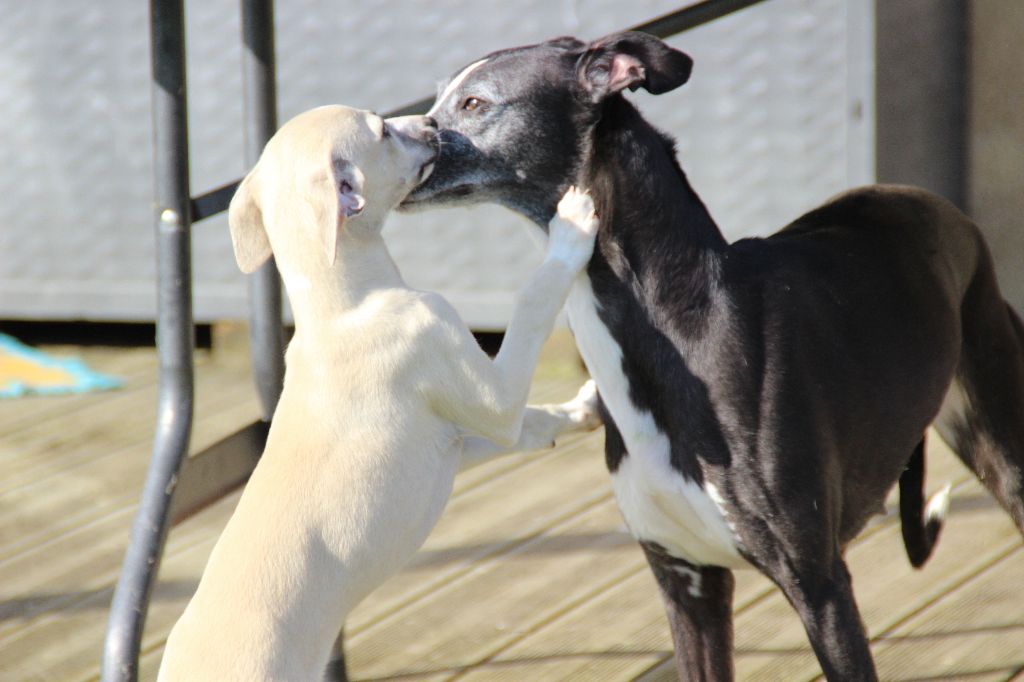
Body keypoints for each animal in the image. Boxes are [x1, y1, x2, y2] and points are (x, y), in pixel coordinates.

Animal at [157, 105, 601, 681]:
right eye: (383, 130)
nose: (432, 125)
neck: (341, 307)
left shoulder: (453, 441)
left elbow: (529, 427)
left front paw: (581, 410)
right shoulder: (491, 396)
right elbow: (533, 304)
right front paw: (570, 233)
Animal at [399, 32, 1024, 680]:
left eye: (474, 102)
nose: (389, 131)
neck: (686, 331)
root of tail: (929, 201)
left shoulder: (821, 587)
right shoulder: (687, 581)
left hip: (1003, 448)